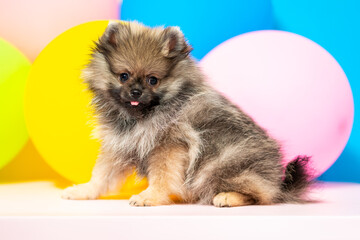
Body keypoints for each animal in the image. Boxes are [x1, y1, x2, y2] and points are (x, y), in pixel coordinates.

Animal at [60, 21, 310, 207]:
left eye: (153, 80)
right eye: (124, 76)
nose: (136, 91)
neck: (142, 115)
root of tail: (278, 180)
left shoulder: (169, 146)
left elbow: (161, 176)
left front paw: (149, 196)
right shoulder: (118, 145)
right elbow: (101, 175)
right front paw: (83, 191)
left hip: (220, 164)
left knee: (261, 195)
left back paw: (227, 196)